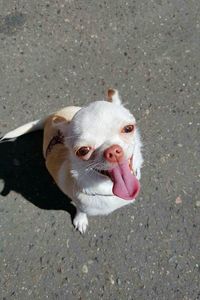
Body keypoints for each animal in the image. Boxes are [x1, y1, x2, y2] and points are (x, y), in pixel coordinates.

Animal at [1, 90, 142, 233]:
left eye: (128, 128)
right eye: (83, 151)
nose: (113, 151)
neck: (106, 187)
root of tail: (51, 116)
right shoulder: (80, 203)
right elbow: (81, 210)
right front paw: (80, 220)